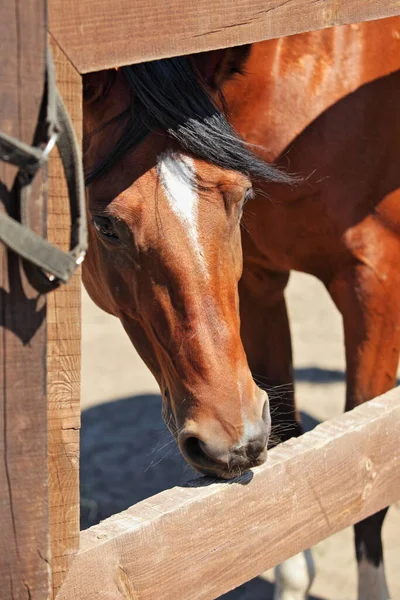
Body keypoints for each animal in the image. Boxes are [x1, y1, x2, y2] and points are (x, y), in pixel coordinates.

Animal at [82, 16, 400, 596]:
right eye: (106, 224)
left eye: (242, 195)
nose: (229, 442)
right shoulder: (258, 284)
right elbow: (291, 449)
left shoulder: (375, 283)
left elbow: (369, 469)